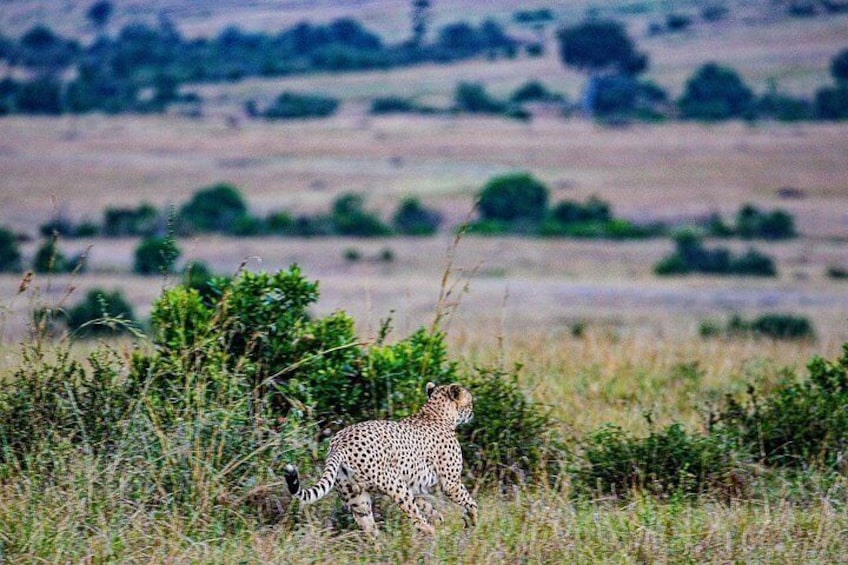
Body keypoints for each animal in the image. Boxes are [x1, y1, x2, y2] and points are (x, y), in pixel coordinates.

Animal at [283, 381, 478, 536]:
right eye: (470, 401)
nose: (472, 412)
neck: (435, 414)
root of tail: (339, 442)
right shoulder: (450, 483)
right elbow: (470, 502)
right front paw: (472, 520)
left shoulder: (415, 487)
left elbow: (429, 507)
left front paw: (440, 518)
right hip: (396, 485)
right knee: (415, 519)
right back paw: (432, 533)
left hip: (357, 499)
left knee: (369, 529)